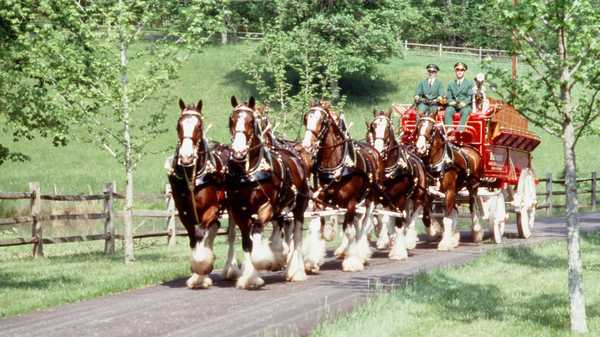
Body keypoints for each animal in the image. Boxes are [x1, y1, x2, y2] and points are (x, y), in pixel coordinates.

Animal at [168, 98, 240, 288]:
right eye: (178, 125)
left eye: (199, 126)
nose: (186, 157)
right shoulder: (184, 212)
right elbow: (194, 237)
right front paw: (198, 274)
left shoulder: (211, 208)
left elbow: (201, 233)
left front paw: (201, 267)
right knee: (213, 230)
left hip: (231, 207)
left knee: (230, 234)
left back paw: (231, 269)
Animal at [225, 95, 310, 288]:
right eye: (231, 120)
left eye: (251, 122)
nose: (239, 151)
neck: (249, 173)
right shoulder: (239, 212)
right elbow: (246, 242)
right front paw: (249, 277)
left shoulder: (267, 207)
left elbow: (257, 228)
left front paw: (263, 260)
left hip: (298, 208)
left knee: (297, 237)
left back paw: (296, 271)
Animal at [300, 100, 384, 270]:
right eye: (306, 118)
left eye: (322, 121)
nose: (306, 145)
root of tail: (374, 150)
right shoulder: (320, 201)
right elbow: (318, 228)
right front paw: (312, 261)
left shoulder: (351, 202)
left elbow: (349, 231)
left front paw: (352, 261)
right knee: (357, 223)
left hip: (370, 199)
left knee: (364, 225)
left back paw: (360, 254)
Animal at [364, 109, 434, 258]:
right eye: (373, 128)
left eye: (387, 128)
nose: (378, 149)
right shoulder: (379, 198)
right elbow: (380, 219)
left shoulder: (400, 198)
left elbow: (399, 222)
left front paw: (399, 251)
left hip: (418, 195)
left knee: (415, 214)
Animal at [414, 117, 486, 248]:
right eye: (418, 127)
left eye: (431, 129)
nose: (420, 148)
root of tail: (471, 148)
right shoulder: (429, 193)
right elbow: (426, 217)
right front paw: (434, 231)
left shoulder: (449, 191)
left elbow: (447, 218)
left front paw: (445, 242)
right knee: (455, 210)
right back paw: (454, 235)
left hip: (473, 185)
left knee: (472, 206)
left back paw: (476, 230)